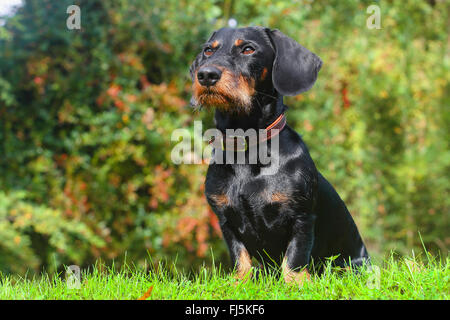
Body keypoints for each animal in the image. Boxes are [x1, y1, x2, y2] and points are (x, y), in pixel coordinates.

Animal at [188, 26, 368, 284]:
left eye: (248, 49)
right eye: (208, 50)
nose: (206, 75)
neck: (247, 147)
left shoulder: (302, 217)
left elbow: (294, 258)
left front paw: (296, 283)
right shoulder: (226, 220)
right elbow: (240, 257)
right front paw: (240, 282)